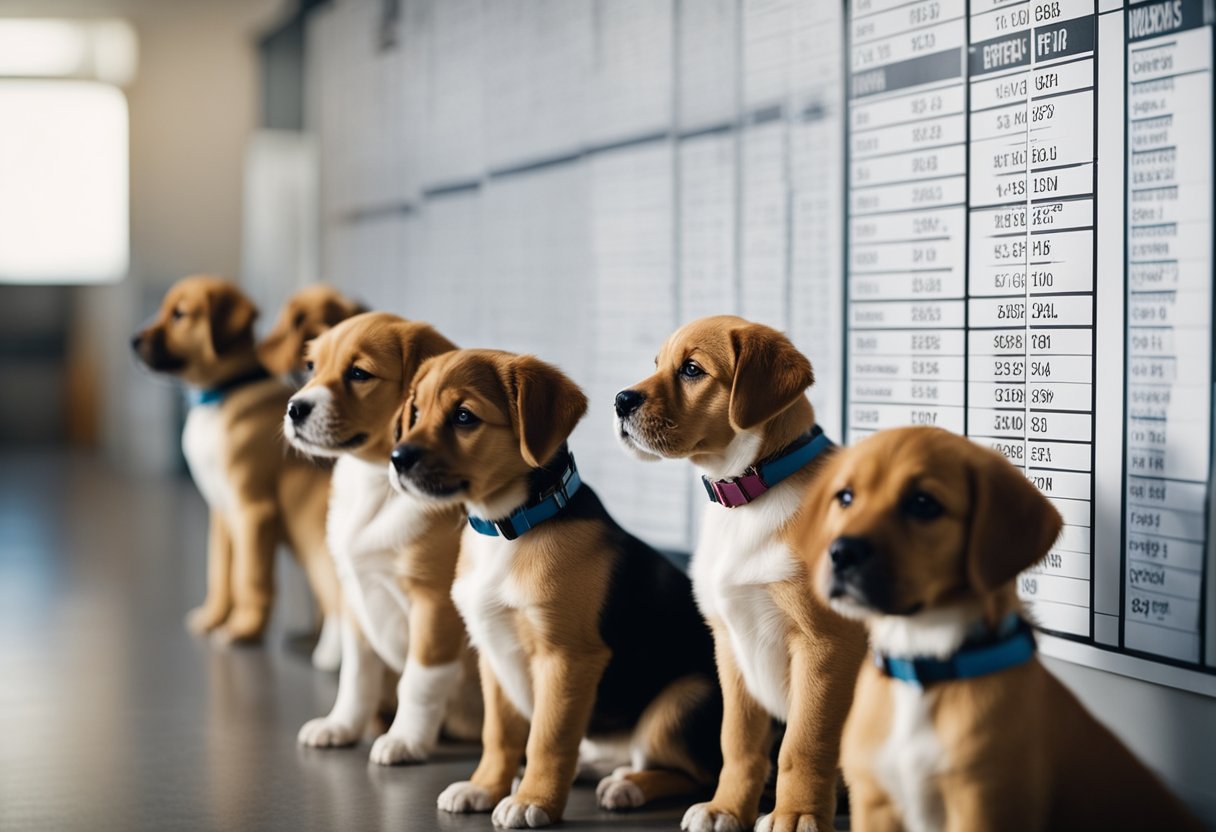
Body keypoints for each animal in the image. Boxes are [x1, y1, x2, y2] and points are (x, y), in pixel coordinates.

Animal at [130, 276, 342, 666]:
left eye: (179, 314)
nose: (132, 341)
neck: (220, 396)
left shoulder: (253, 512)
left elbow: (249, 578)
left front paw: (244, 631)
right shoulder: (222, 512)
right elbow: (220, 572)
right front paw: (213, 618)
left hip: (318, 548)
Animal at [284, 313, 479, 768]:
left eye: (359, 374)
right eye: (312, 367)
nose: (294, 408)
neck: (375, 485)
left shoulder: (434, 606)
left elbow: (419, 681)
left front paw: (406, 739)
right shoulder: (355, 598)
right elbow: (357, 675)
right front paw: (342, 726)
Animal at [393, 350, 724, 827]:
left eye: (464, 417)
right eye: (415, 413)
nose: (397, 458)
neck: (510, 527)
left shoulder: (567, 657)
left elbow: (548, 739)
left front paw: (534, 801)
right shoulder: (494, 654)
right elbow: (499, 735)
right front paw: (484, 787)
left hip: (680, 704)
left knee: (698, 775)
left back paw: (628, 786)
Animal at [617, 311, 865, 832]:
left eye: (692, 369)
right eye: (656, 363)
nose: (620, 399)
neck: (748, 495)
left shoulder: (825, 647)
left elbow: (802, 745)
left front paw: (796, 814)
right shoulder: (731, 645)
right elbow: (739, 742)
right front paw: (726, 809)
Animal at [797, 428, 1206, 832]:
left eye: (923, 504)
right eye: (845, 497)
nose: (842, 552)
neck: (924, 659)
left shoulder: (985, 804)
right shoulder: (873, 803)